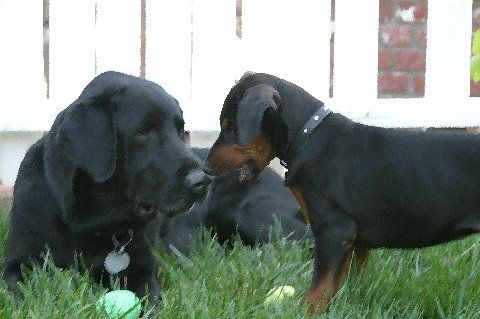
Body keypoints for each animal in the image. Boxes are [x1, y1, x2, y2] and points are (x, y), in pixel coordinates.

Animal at [1, 72, 211, 304]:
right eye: (144, 132)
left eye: (180, 130)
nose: (202, 180)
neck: (90, 220)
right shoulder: (18, 265)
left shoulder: (143, 272)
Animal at [204, 72, 480, 316]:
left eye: (230, 126)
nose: (205, 168)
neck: (308, 137)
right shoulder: (354, 241)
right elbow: (344, 285)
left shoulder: (334, 230)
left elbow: (318, 291)